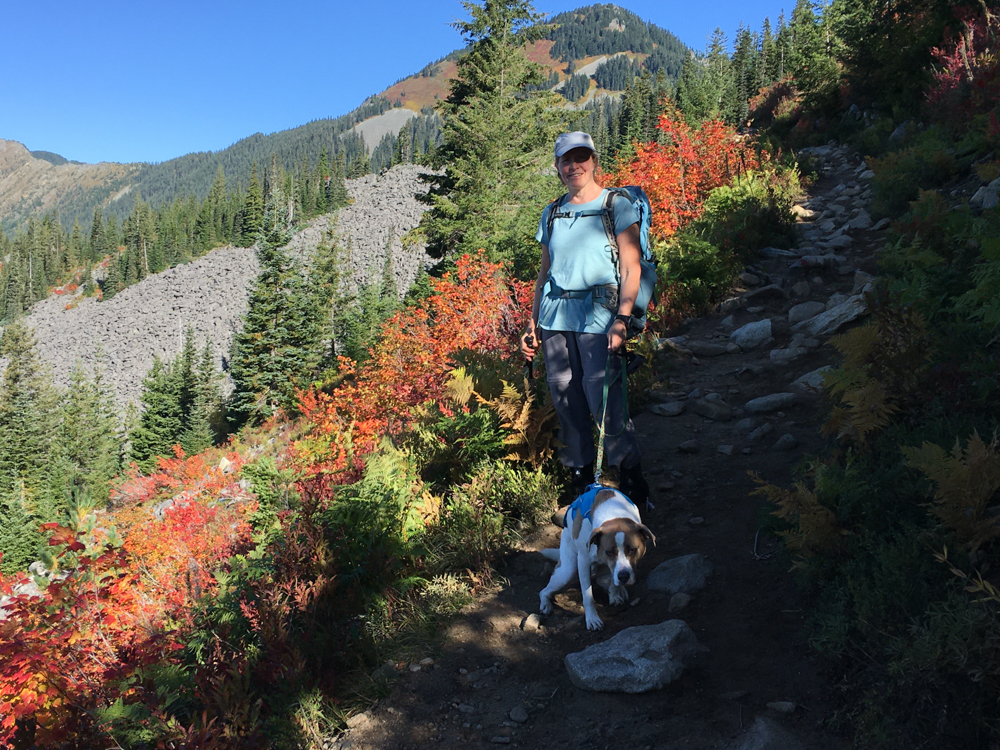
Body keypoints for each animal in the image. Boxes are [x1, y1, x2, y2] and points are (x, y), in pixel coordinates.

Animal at [540, 484, 656, 632]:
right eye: (609, 552)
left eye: (632, 550)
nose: (623, 577)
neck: (614, 513)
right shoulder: (583, 562)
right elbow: (588, 596)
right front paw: (592, 619)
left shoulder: (613, 567)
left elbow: (613, 581)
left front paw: (615, 594)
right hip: (568, 571)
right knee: (544, 591)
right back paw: (545, 604)